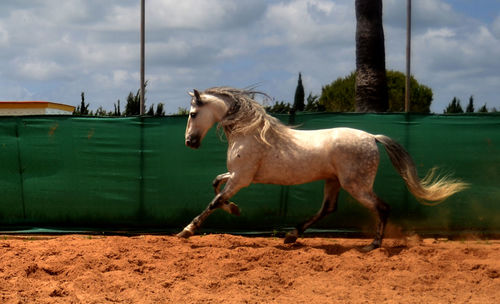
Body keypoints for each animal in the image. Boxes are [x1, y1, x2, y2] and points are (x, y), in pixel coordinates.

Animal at [177, 86, 468, 251]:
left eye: (192, 114)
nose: (189, 142)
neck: (249, 132)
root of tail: (372, 137)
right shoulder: (239, 176)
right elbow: (216, 184)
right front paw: (235, 209)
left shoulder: (242, 178)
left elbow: (214, 200)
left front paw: (186, 231)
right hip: (333, 181)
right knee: (328, 208)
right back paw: (291, 236)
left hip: (356, 185)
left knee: (382, 208)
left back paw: (372, 246)